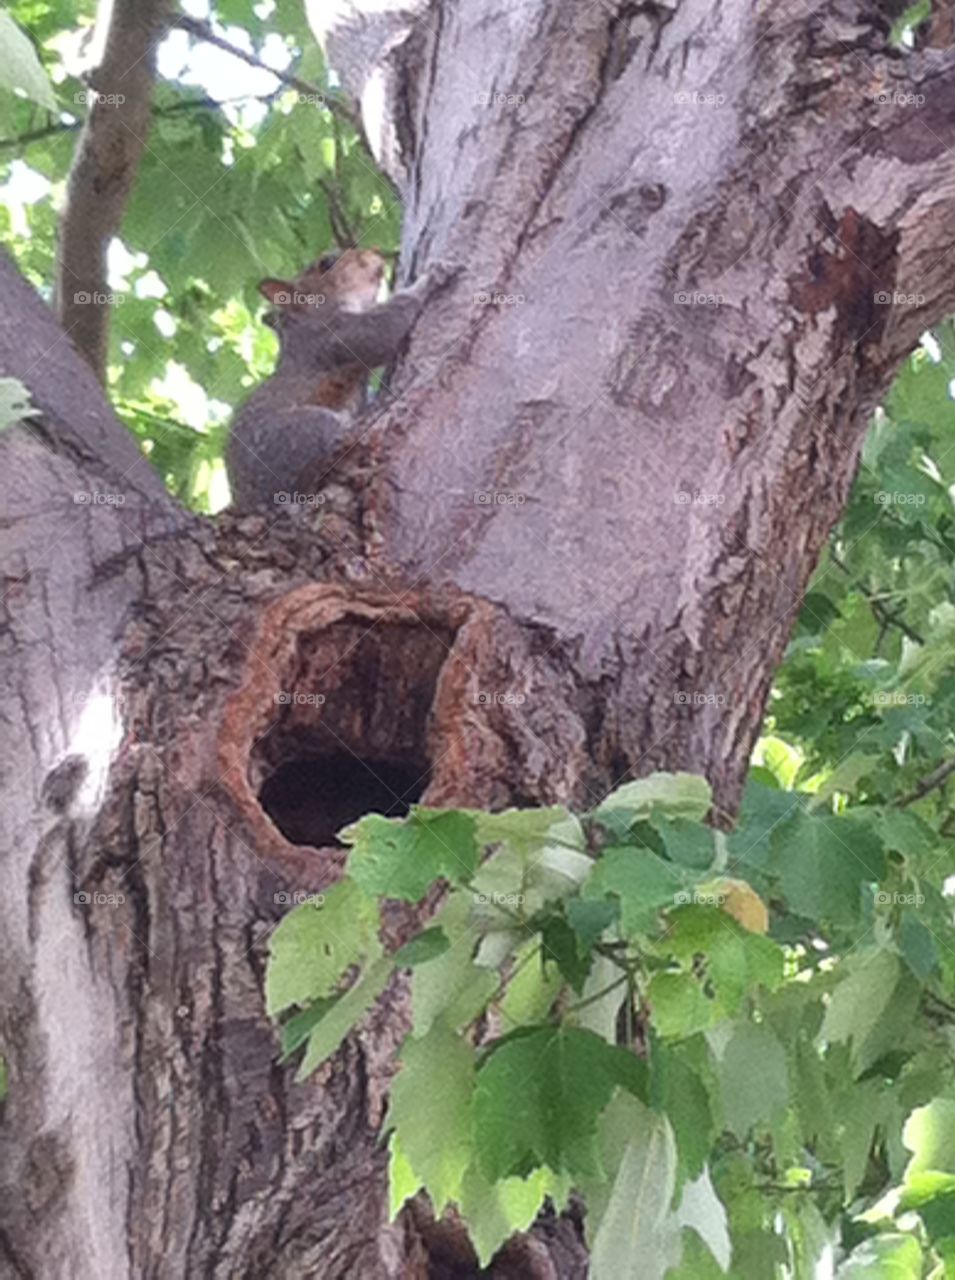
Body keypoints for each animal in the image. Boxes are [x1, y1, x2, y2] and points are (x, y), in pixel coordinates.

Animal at [226, 248, 436, 509]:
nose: (375, 253)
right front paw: (426, 281)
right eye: (326, 263)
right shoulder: (332, 336)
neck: (307, 317)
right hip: (301, 432)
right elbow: (382, 331)